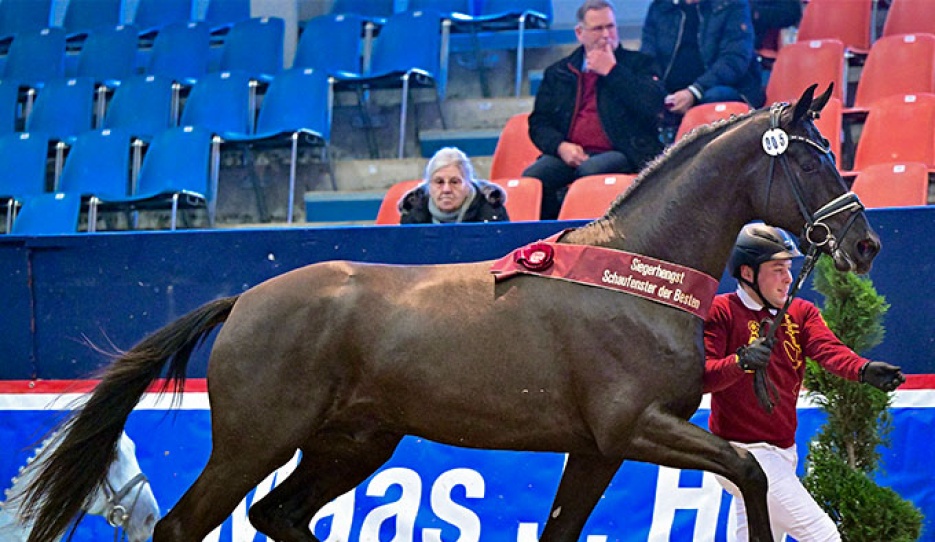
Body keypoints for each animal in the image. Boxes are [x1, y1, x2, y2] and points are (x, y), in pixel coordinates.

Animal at [20, 84, 879, 542]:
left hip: (352, 443)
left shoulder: (598, 448)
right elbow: (749, 470)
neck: (634, 280)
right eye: (812, 160)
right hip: (255, 439)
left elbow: (563, 529)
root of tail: (246, 300)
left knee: (278, 515)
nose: (863, 242)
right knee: (185, 525)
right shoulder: (633, 428)